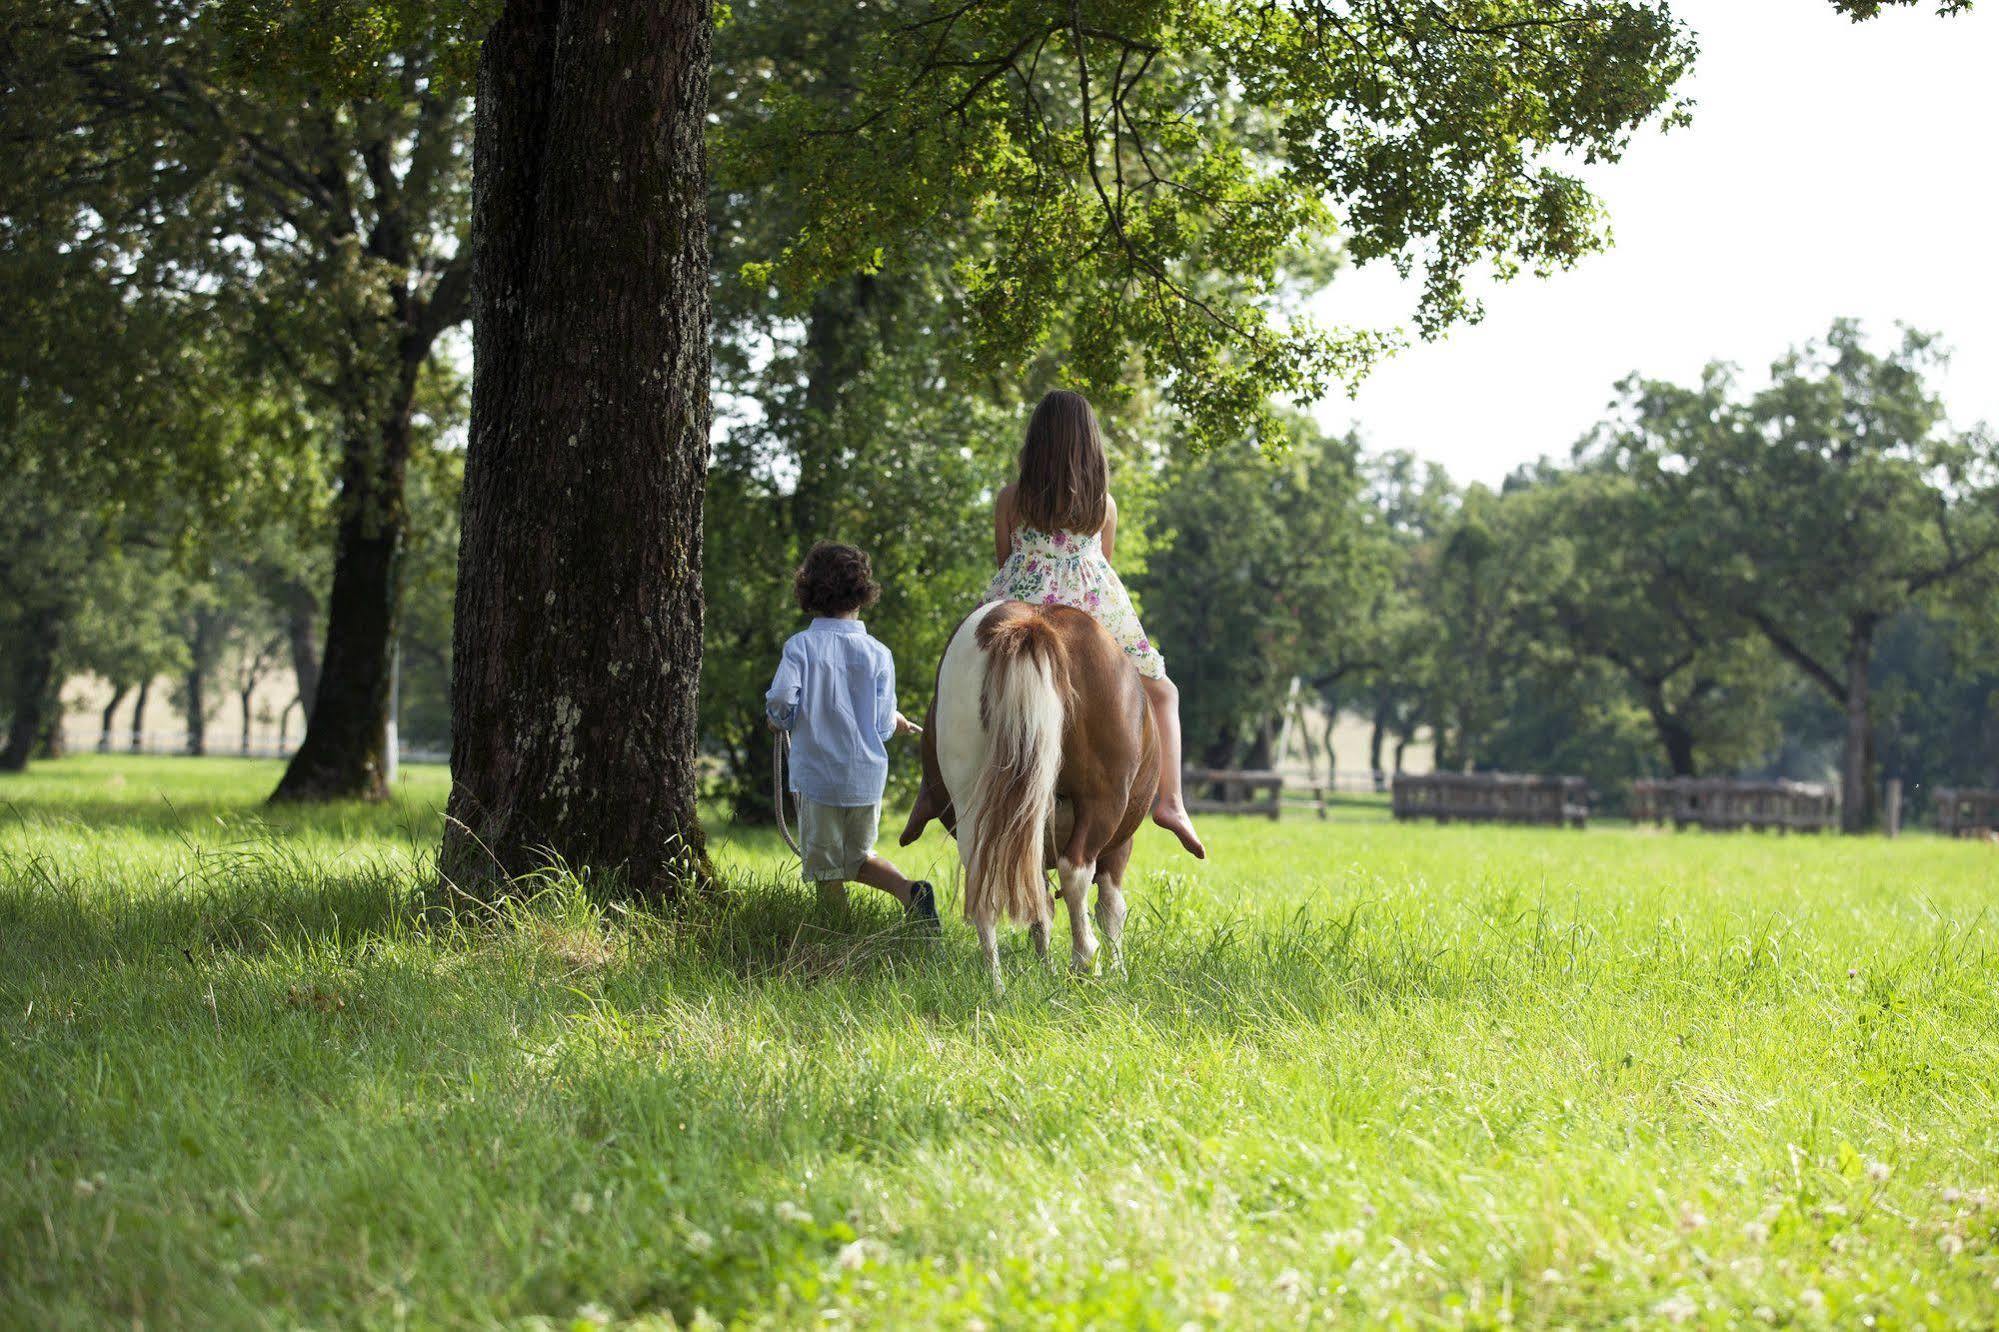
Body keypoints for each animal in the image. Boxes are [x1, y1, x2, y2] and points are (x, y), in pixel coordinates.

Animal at [903, 596, 1167, 980]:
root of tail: (1032, 622)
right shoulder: (1120, 844)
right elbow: (1111, 907)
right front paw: (1117, 969)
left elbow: (1039, 900)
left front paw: (1045, 966)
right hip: (1104, 801)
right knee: (1076, 871)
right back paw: (1084, 959)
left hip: (976, 800)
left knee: (983, 877)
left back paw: (995, 980)